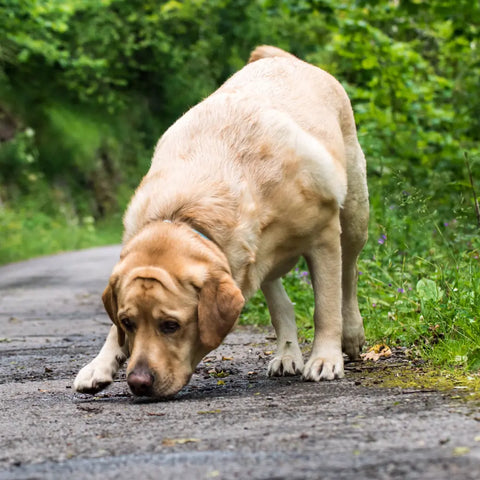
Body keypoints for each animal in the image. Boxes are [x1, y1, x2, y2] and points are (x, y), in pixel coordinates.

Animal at [74, 46, 368, 398]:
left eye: (171, 326)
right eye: (128, 322)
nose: (138, 383)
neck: (185, 214)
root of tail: (280, 56)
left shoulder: (323, 235)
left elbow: (325, 305)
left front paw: (325, 357)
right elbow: (112, 330)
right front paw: (100, 364)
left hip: (354, 217)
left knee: (348, 276)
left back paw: (350, 335)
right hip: (261, 262)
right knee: (279, 298)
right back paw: (286, 353)